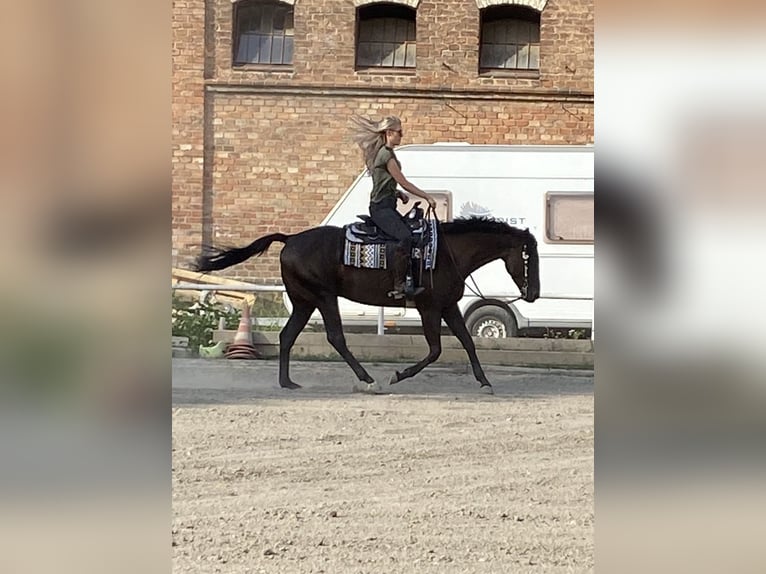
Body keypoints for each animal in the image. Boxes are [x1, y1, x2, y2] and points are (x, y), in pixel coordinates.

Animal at [195, 217, 544, 396]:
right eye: (529, 259)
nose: (534, 294)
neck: (446, 253)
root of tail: (291, 238)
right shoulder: (430, 309)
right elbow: (435, 351)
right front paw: (397, 376)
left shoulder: (449, 307)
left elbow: (468, 342)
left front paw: (485, 381)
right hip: (324, 297)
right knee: (336, 337)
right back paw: (368, 379)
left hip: (304, 301)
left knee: (287, 336)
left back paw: (288, 382)